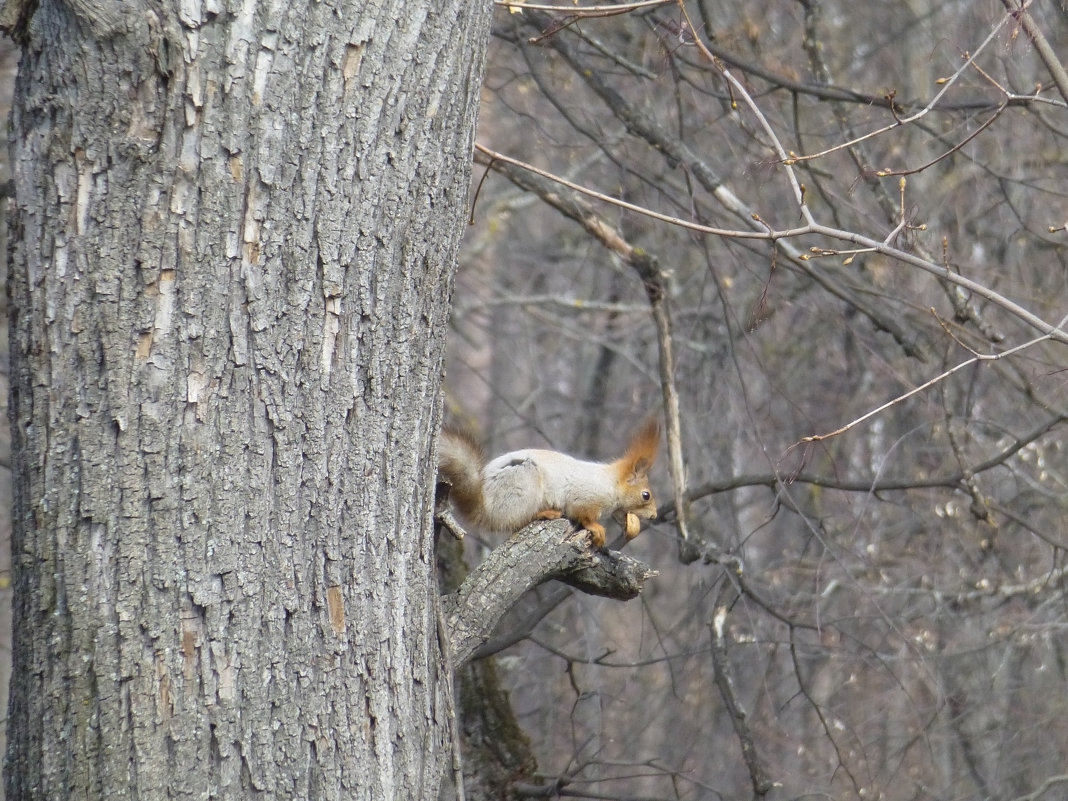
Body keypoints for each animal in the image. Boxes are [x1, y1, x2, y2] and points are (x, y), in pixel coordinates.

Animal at [435, 416, 657, 551]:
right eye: (645, 495)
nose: (654, 515)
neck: (610, 484)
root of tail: (485, 505)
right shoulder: (584, 498)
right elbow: (582, 515)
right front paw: (597, 528)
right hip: (523, 484)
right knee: (518, 520)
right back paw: (546, 513)